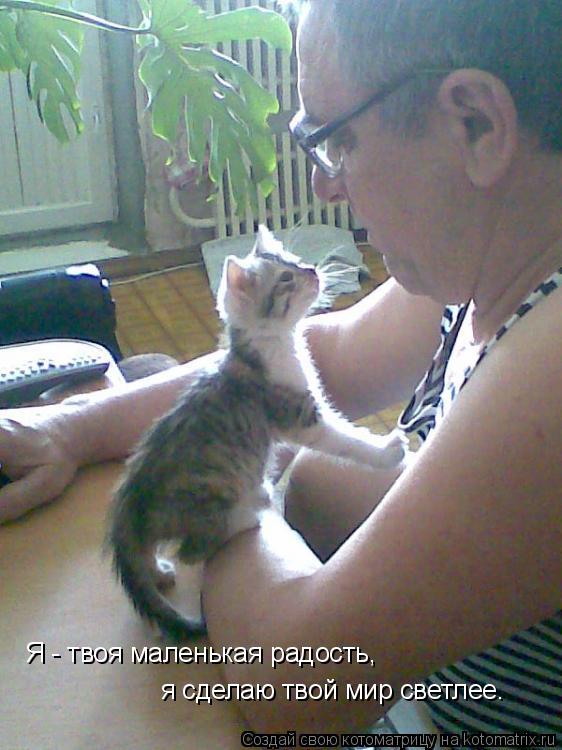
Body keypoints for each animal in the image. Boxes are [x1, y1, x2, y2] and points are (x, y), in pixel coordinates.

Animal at [106, 226, 406, 640]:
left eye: (296, 262)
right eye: (286, 279)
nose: (313, 271)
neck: (276, 344)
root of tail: (130, 499)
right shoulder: (299, 416)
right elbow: (344, 440)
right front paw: (387, 450)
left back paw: (157, 572)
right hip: (211, 493)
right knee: (193, 551)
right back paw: (249, 512)